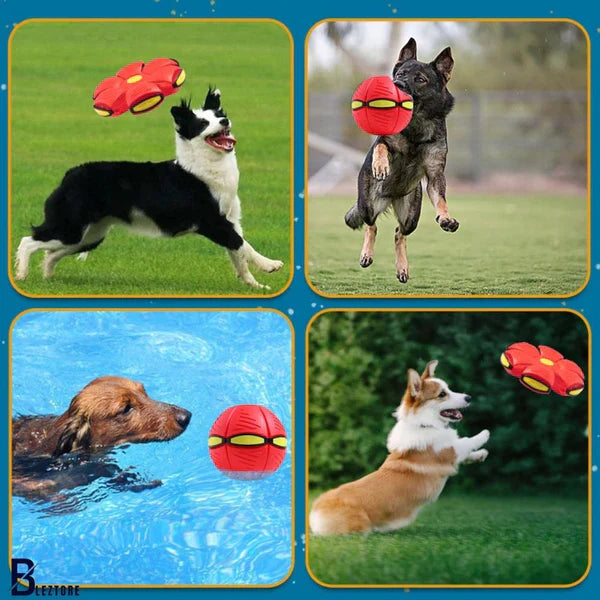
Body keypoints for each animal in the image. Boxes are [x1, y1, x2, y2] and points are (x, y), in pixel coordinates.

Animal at [15, 86, 282, 288]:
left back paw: (48, 276)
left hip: (89, 235)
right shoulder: (212, 222)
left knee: (51, 252)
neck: (205, 167)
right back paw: (22, 274)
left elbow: (238, 256)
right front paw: (270, 265)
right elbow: (241, 244)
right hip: (71, 227)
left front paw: (254, 285)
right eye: (203, 123)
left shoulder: (231, 220)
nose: (225, 121)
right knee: (28, 241)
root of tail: (70, 174)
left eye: (219, 115)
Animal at [310, 360, 488, 536]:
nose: (469, 397)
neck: (424, 424)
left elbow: (468, 453)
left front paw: (481, 455)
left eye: (449, 389)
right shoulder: (448, 451)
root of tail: (314, 517)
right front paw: (485, 434)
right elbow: (465, 442)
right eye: (442, 394)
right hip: (360, 527)